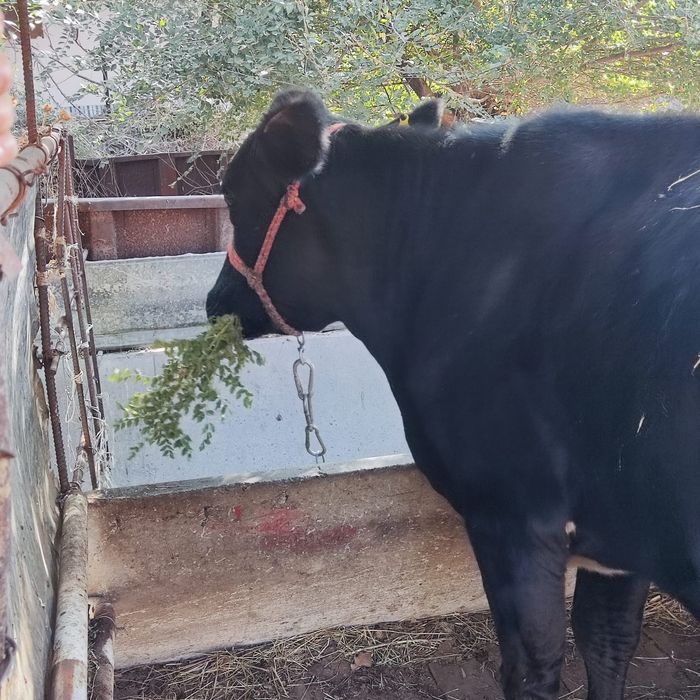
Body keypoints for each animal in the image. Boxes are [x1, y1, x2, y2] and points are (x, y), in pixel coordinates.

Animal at [206, 89, 700, 700]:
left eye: (232, 193)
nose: (214, 301)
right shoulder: (621, 537)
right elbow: (607, 642)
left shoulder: (511, 512)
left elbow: (531, 668)